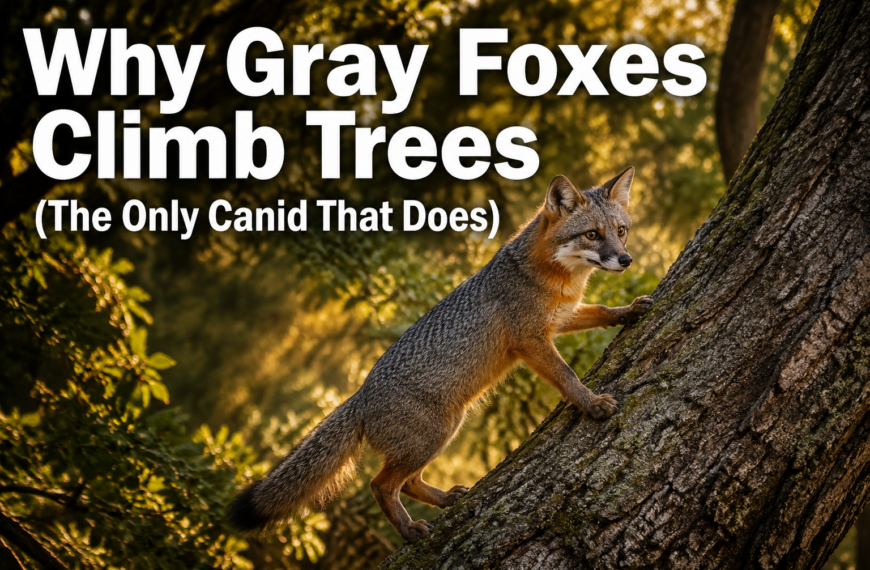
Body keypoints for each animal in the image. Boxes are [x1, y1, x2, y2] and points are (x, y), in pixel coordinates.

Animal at [227, 167, 654, 542]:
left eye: (620, 231)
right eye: (592, 235)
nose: (626, 260)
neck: (556, 279)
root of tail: (359, 397)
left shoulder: (560, 319)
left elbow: (600, 311)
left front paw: (628, 311)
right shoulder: (530, 341)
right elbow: (567, 376)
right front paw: (592, 403)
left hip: (445, 429)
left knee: (408, 482)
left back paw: (446, 499)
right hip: (432, 436)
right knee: (381, 484)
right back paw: (409, 530)